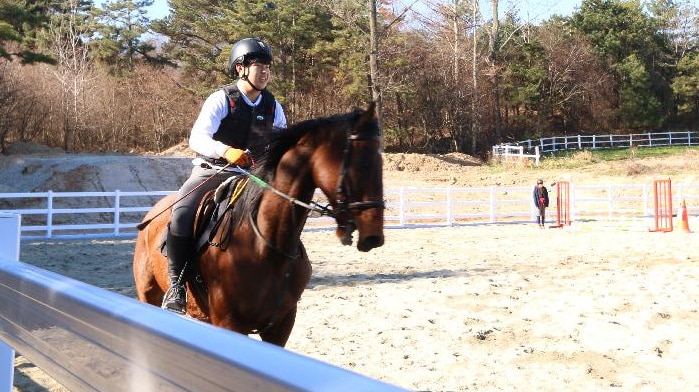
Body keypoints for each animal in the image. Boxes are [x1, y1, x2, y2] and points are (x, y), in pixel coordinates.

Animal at [134, 103, 386, 346]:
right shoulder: (229, 323)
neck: (265, 245)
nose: (374, 236)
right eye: (362, 163)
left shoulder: (281, 326)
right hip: (149, 295)